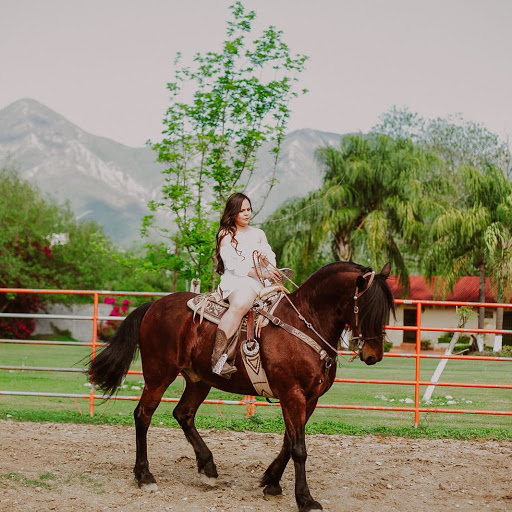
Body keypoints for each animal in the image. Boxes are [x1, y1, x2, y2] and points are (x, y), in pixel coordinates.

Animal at [89, 262, 396, 510]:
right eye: (367, 308)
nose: (374, 355)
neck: (304, 324)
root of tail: (153, 306)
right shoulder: (292, 396)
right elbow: (299, 448)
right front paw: (305, 500)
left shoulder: (309, 399)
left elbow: (288, 442)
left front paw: (272, 482)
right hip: (158, 375)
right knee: (143, 415)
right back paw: (144, 475)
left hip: (199, 380)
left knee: (183, 414)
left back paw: (208, 468)